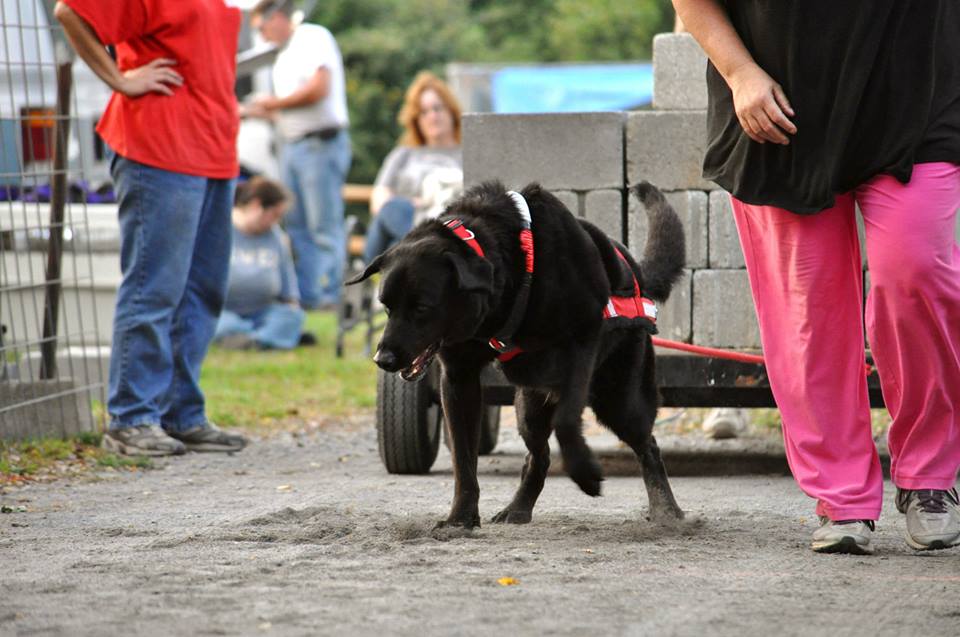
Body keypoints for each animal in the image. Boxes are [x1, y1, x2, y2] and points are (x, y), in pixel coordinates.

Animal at [348, 180, 688, 528]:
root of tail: (637, 273)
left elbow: (567, 419)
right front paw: (461, 518)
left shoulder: (582, 345)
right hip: (529, 408)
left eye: (421, 308)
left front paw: (585, 473)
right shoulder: (459, 378)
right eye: (386, 307)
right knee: (538, 457)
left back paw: (666, 508)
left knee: (647, 444)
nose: (383, 360)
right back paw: (518, 507)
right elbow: (463, 459)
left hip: (618, 399)